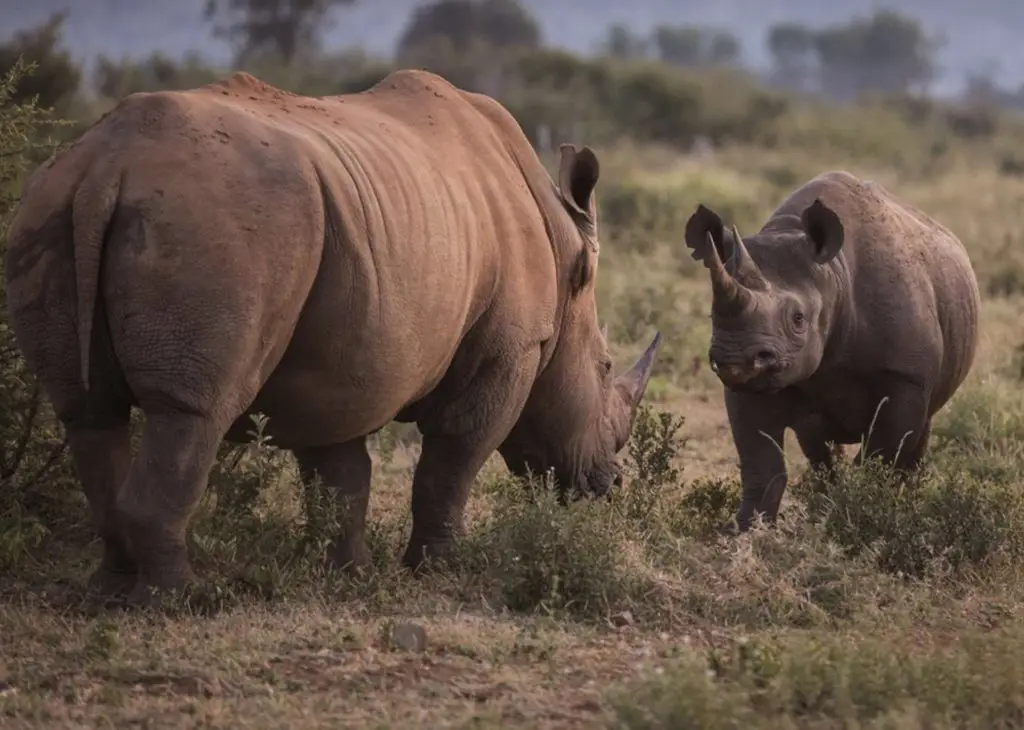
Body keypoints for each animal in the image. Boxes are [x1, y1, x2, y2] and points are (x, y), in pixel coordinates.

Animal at [5, 69, 661, 604]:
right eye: (605, 367)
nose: (611, 484)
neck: (563, 249)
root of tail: (107, 167)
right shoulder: (508, 349)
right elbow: (454, 459)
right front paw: (441, 570)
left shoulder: (340, 359)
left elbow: (339, 472)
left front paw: (349, 575)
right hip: (215, 223)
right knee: (191, 413)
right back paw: (179, 600)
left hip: (48, 206)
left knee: (88, 413)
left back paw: (110, 591)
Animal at [684, 170, 980, 530]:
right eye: (712, 315)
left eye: (798, 319)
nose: (735, 359)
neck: (833, 276)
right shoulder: (749, 384)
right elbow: (761, 462)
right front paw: (745, 530)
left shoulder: (905, 377)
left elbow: (882, 457)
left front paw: (866, 510)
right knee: (816, 442)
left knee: (918, 434)